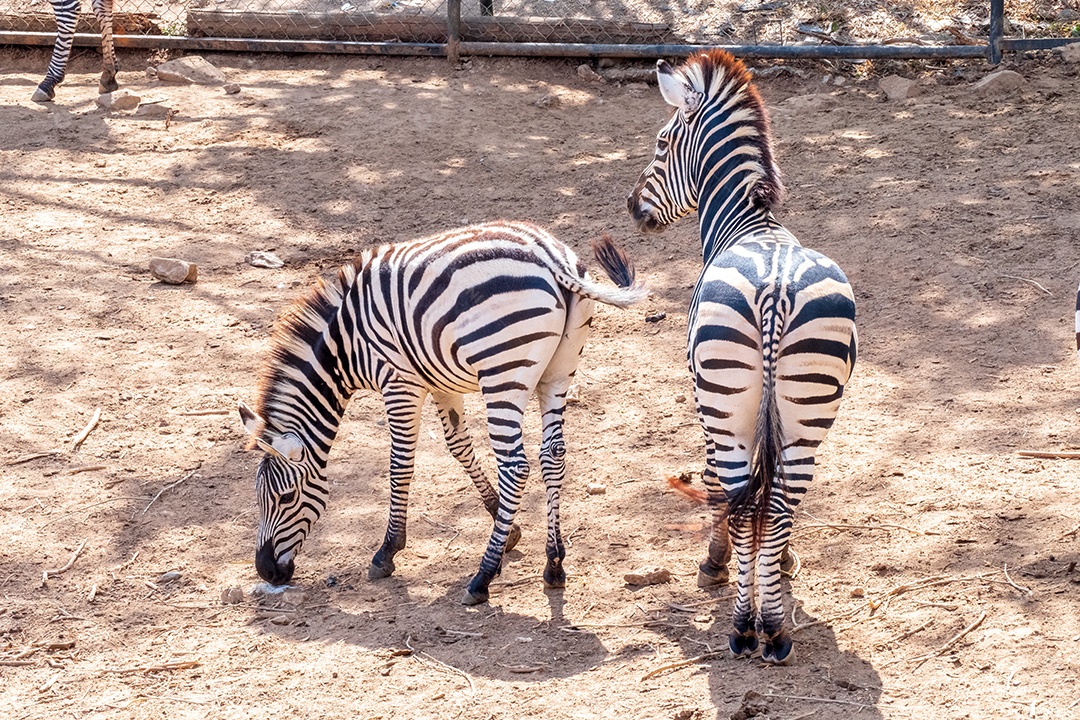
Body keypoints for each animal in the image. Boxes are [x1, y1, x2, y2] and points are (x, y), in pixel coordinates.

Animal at [239, 221, 646, 605]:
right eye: (258, 498)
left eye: (286, 498)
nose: (266, 571)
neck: (345, 346)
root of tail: (550, 255)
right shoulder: (440, 382)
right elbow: (458, 446)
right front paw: (507, 526)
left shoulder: (399, 383)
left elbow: (400, 465)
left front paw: (388, 551)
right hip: (558, 371)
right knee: (553, 456)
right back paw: (554, 564)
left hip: (502, 375)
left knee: (516, 467)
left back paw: (482, 577)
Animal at [626, 50, 857, 665]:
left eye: (661, 142)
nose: (633, 208)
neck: (751, 221)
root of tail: (775, 286)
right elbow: (764, 489)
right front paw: (780, 564)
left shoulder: (704, 398)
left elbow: (715, 482)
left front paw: (717, 561)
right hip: (808, 410)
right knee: (777, 501)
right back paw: (774, 628)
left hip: (725, 399)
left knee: (737, 490)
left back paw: (745, 626)